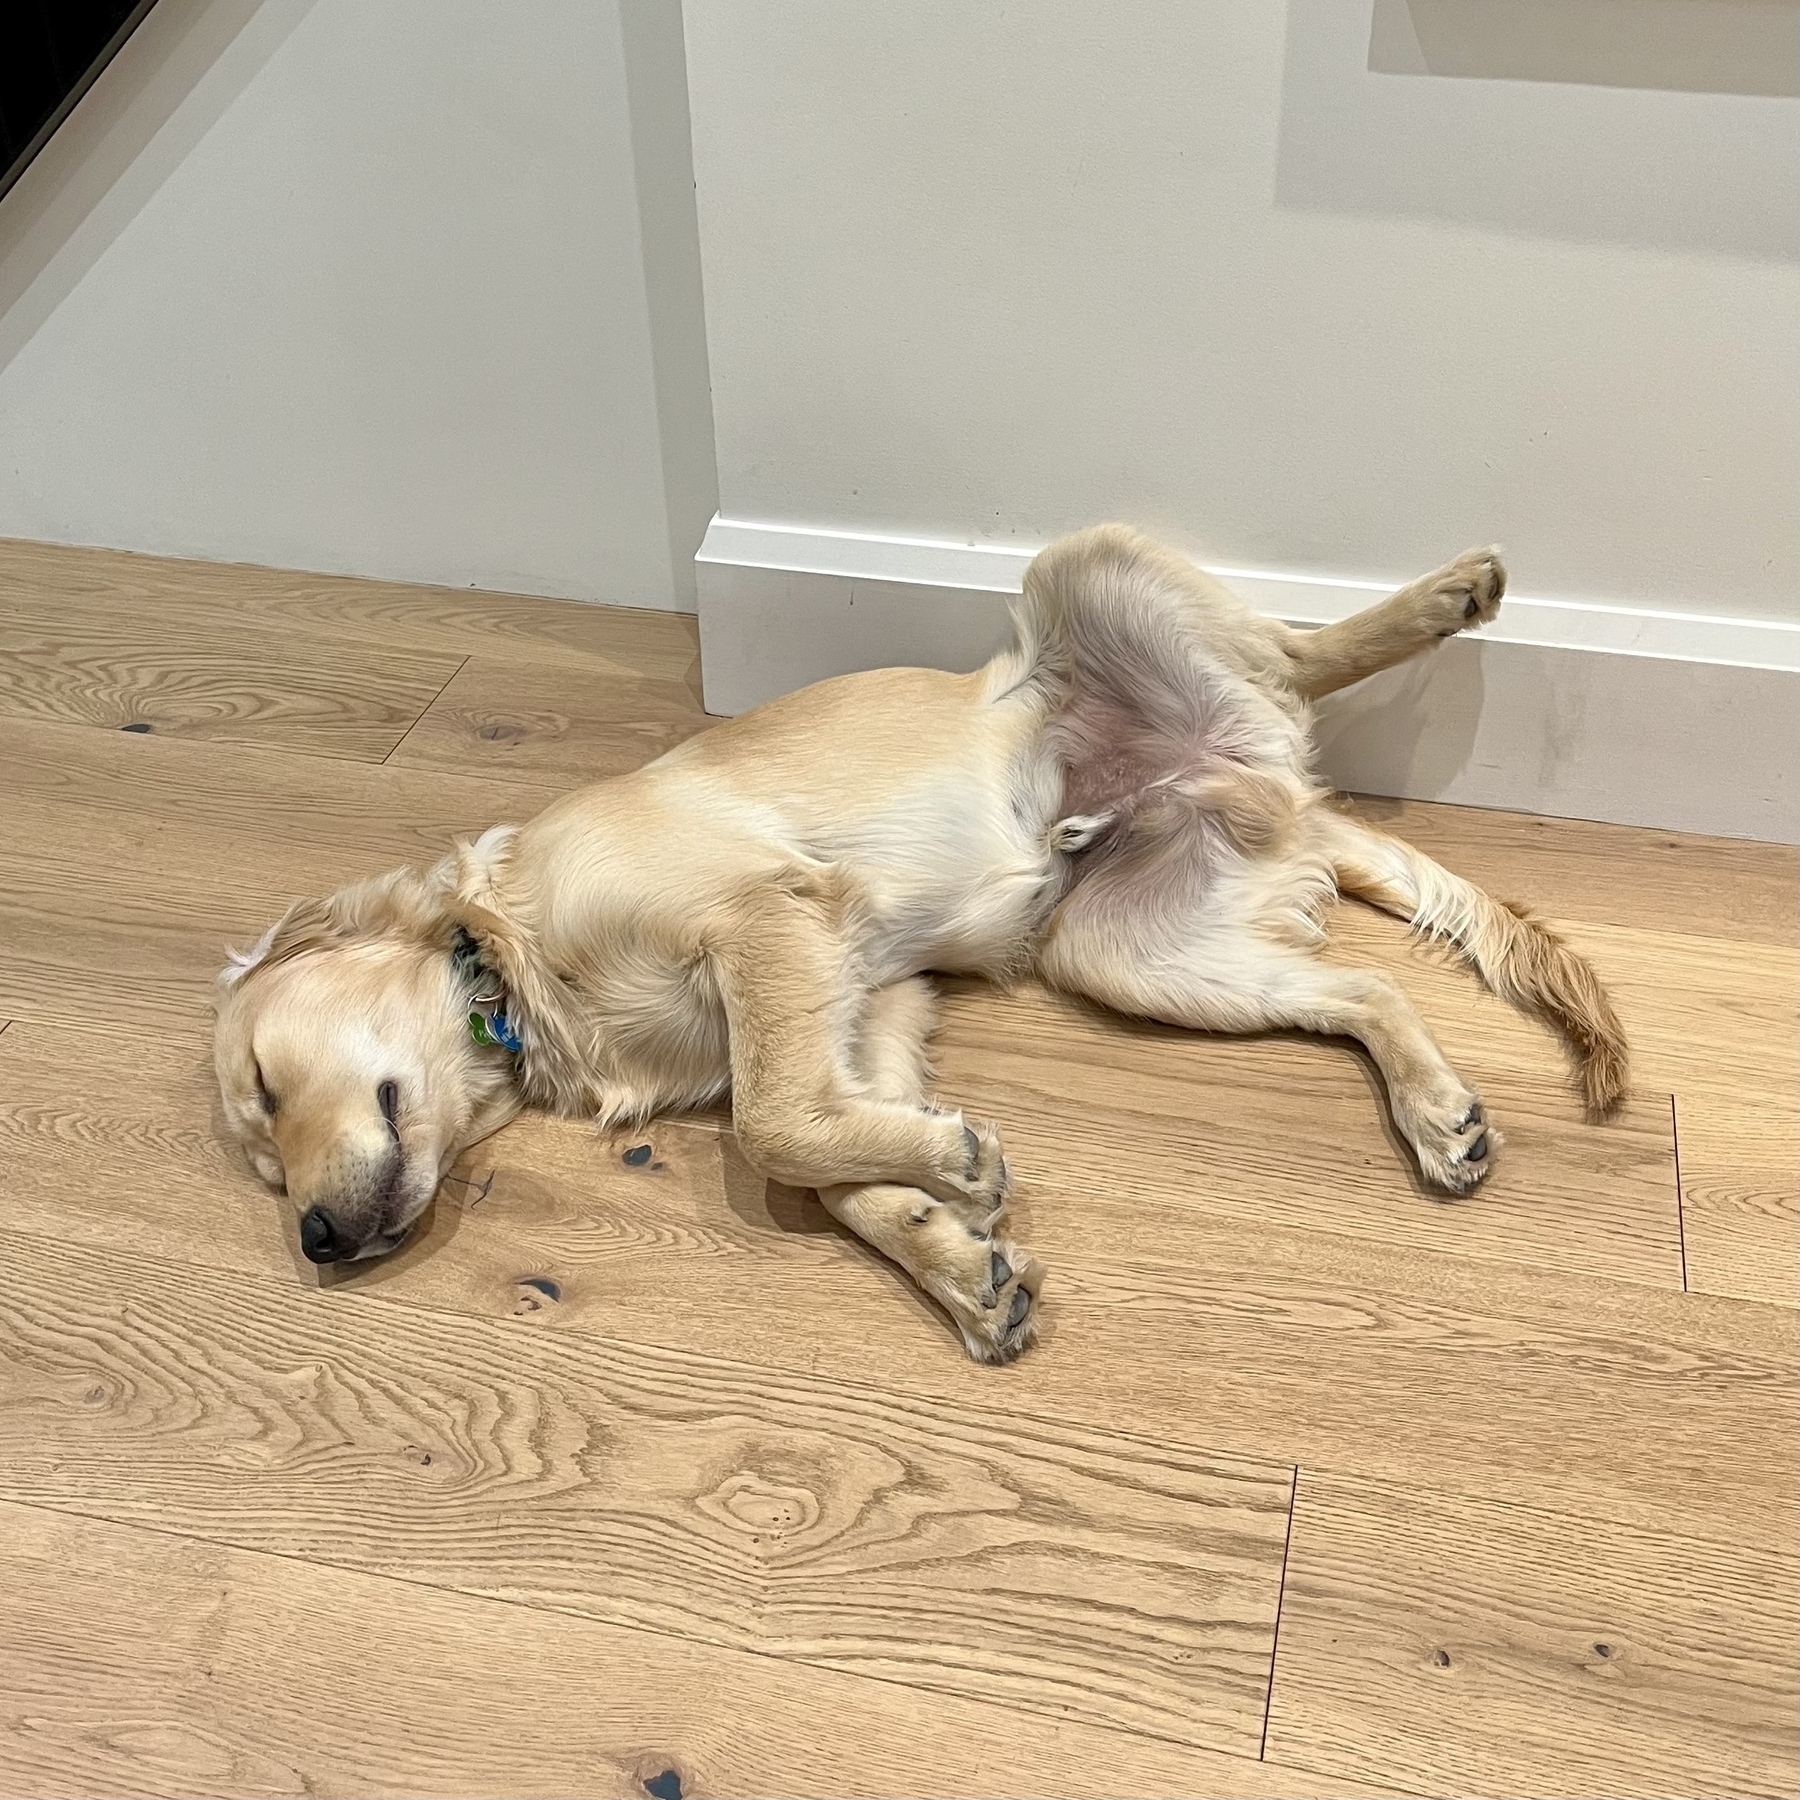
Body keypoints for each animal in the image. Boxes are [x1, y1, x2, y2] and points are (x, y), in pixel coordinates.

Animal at [214, 525, 1634, 1353]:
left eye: (267, 1087)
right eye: (262, 1153)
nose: (316, 1241)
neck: (513, 964)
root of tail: (1258, 777)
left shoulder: (762, 920)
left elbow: (774, 1132)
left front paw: (955, 1172)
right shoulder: (869, 1006)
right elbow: (833, 1170)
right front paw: (959, 1255)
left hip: (1086, 569)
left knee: (1298, 650)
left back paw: (1446, 595)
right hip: (1138, 955)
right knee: (1360, 992)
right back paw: (1438, 1112)